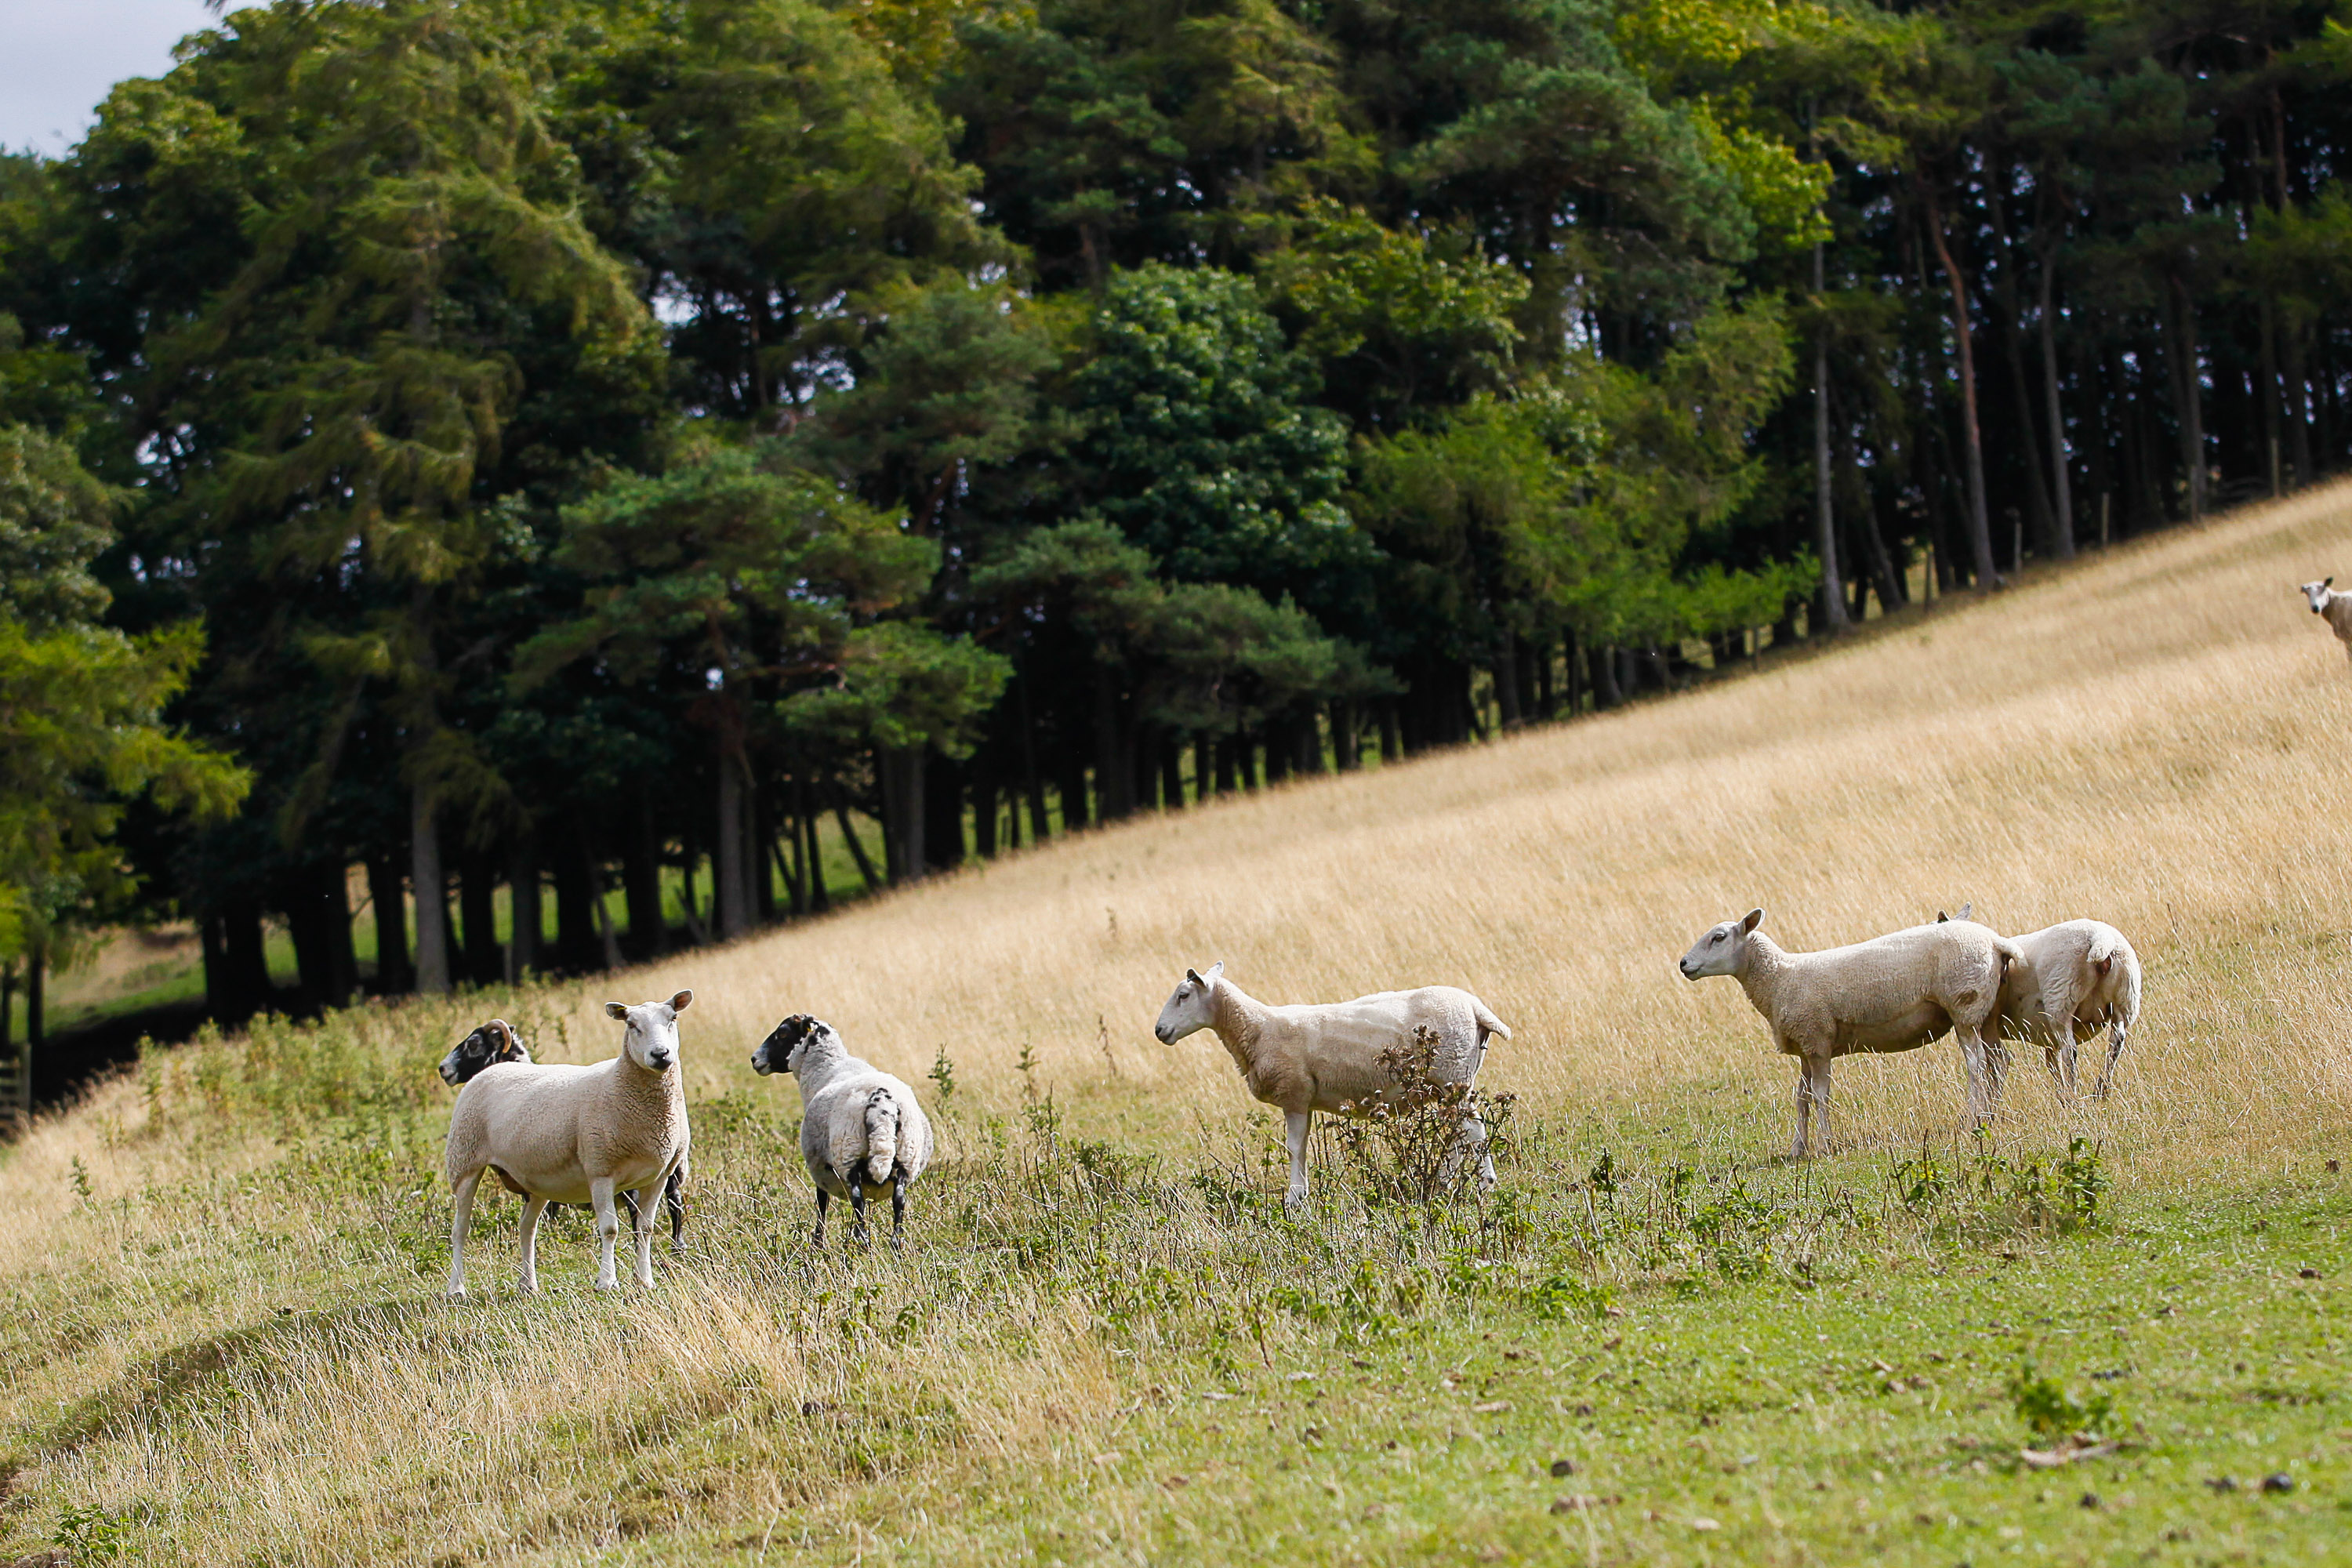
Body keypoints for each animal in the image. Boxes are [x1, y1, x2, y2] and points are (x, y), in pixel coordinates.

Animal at [443, 991, 693, 1297]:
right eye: (631, 1024)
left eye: (673, 1018)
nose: (660, 1055)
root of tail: (490, 1071)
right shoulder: (600, 1170)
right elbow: (610, 1229)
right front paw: (607, 1282)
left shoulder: (659, 1176)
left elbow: (645, 1229)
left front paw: (645, 1280)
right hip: (464, 1161)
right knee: (460, 1229)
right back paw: (456, 1288)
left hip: (536, 1180)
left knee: (527, 1227)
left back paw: (528, 1284)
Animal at [751, 1014, 932, 1248]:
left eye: (782, 1033)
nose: (754, 1059)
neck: (826, 1067)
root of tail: (882, 1103)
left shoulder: (820, 1169)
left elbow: (821, 1205)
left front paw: (818, 1243)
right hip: (905, 1157)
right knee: (899, 1203)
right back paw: (895, 1247)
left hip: (849, 1154)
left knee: (859, 1204)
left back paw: (863, 1245)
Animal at [1151, 961, 1511, 1212]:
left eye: (1183, 996)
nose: (1159, 1031)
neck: (1257, 1028)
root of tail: (1476, 1008)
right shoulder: (1304, 1098)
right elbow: (1302, 1147)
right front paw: (1300, 1194)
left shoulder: (1294, 1093)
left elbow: (1294, 1147)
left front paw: (1294, 1199)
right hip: (1450, 1082)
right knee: (1461, 1134)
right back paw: (1447, 1183)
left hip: (1454, 1077)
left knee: (1473, 1132)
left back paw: (1479, 1184)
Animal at [1678, 909, 2019, 1159]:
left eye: (1718, 937)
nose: (1683, 964)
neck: (1780, 978)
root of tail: (1995, 941)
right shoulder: (1805, 1047)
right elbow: (1801, 1098)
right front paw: (1797, 1148)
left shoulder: (1817, 1039)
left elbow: (1820, 1095)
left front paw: (1824, 1145)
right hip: (1985, 1012)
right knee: (1998, 1060)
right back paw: (1991, 1114)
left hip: (1964, 1005)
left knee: (1976, 1065)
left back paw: (1974, 1116)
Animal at [1937, 906, 2143, 1100]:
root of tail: (2100, 938)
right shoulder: (2048, 1040)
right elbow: (2051, 1063)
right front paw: (2061, 1098)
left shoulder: (1989, 1022)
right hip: (2125, 1000)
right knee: (2117, 1041)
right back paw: (2100, 1091)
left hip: (2061, 999)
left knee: (2070, 1050)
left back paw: (2075, 1093)